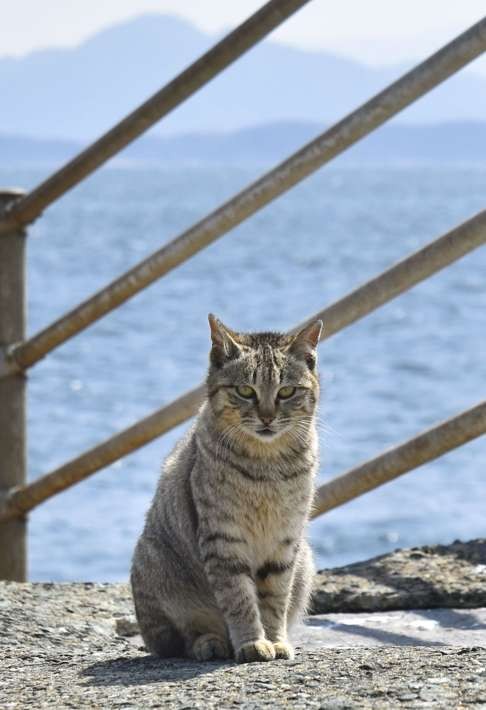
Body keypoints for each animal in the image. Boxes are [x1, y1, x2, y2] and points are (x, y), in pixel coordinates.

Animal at [131, 314, 322, 664]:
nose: (267, 417)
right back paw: (210, 643)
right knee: (177, 640)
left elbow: (275, 600)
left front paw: (275, 640)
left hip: (305, 561)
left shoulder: (285, 541)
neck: (266, 463)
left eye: (287, 391)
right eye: (246, 390)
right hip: (155, 563)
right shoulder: (224, 539)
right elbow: (240, 599)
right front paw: (252, 643)